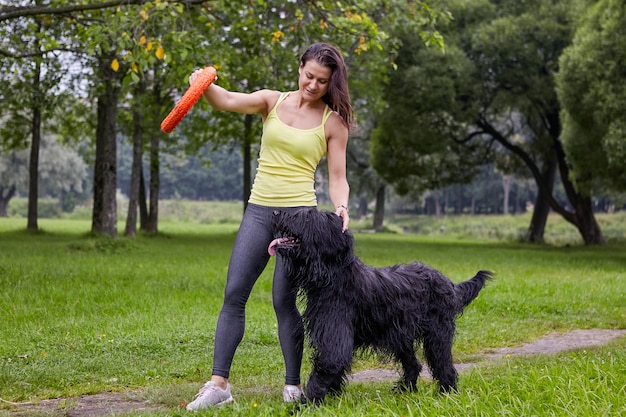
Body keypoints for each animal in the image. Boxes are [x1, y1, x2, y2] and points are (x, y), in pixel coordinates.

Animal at [266, 208, 490, 404]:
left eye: (306, 216)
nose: (274, 212)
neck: (334, 277)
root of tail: (449, 283)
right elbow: (333, 370)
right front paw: (332, 397)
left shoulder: (335, 337)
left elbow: (326, 368)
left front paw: (304, 405)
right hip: (400, 335)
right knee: (414, 364)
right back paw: (404, 390)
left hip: (437, 334)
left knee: (444, 365)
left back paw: (447, 393)